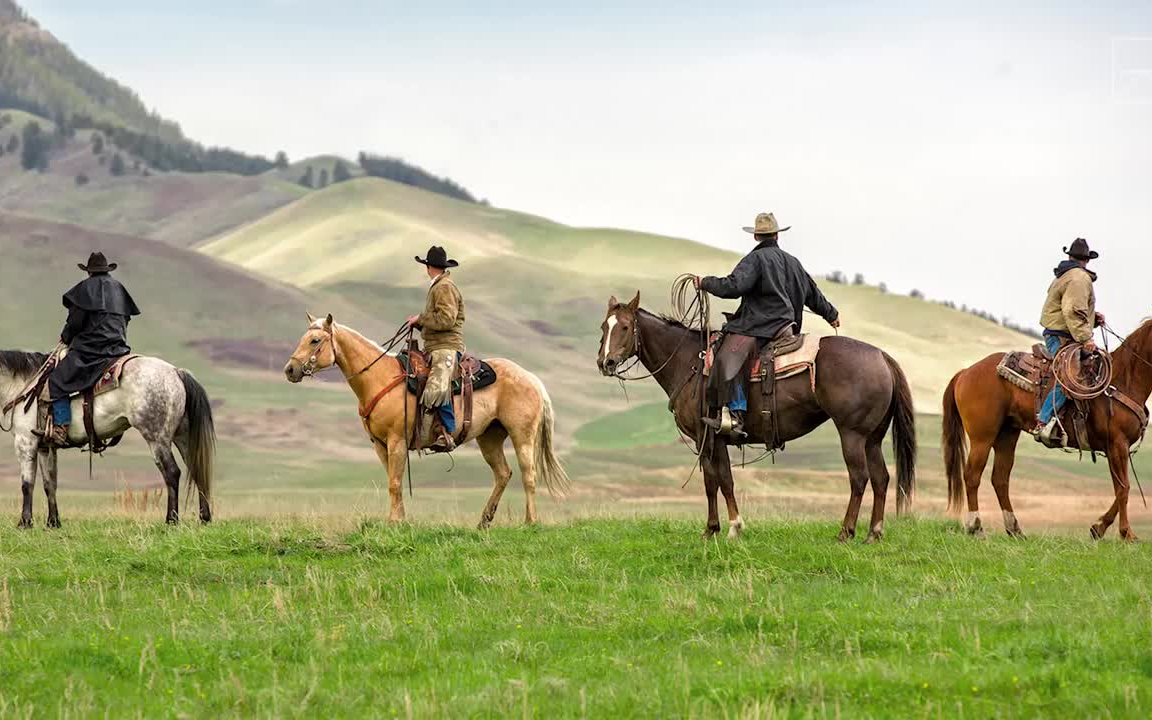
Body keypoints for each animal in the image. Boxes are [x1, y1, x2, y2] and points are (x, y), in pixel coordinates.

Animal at [0, 350, 215, 525]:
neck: (23, 386)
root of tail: (176, 372)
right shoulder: (46, 447)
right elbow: (49, 484)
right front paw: (53, 522)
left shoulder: (25, 442)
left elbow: (27, 484)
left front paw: (25, 522)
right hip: (182, 437)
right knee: (196, 469)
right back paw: (204, 518)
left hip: (157, 438)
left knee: (171, 473)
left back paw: (171, 520)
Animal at [284, 311, 571, 525]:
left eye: (314, 341)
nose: (290, 369)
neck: (379, 377)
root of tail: (531, 378)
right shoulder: (380, 445)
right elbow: (394, 482)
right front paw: (399, 520)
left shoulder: (397, 441)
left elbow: (395, 482)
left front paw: (394, 522)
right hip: (489, 437)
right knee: (503, 473)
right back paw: (484, 521)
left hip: (522, 436)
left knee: (528, 475)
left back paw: (530, 521)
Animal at [599, 292, 912, 539]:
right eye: (604, 327)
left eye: (625, 327)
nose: (606, 362)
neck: (688, 362)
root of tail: (883, 356)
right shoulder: (714, 441)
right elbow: (716, 481)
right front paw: (714, 528)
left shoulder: (708, 436)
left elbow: (719, 480)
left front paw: (730, 527)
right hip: (872, 437)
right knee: (882, 478)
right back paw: (874, 533)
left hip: (852, 434)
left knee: (859, 478)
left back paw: (845, 532)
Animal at [944, 320, 1152, 539]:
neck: (1123, 381)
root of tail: (965, 372)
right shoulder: (1117, 444)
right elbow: (1123, 489)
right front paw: (1126, 533)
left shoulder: (1116, 449)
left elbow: (1121, 488)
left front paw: (1098, 528)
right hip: (982, 437)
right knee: (972, 475)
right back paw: (976, 527)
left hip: (1006, 435)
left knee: (1000, 479)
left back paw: (1015, 529)